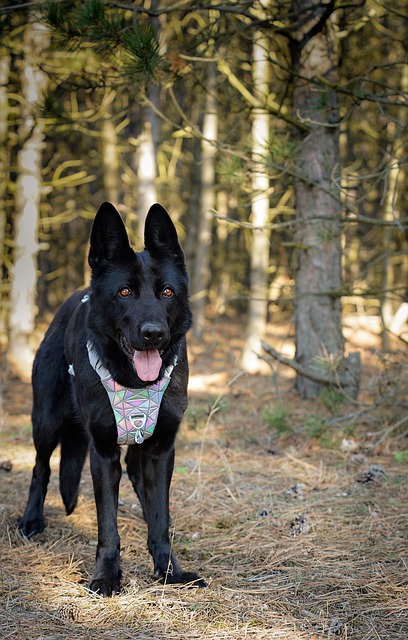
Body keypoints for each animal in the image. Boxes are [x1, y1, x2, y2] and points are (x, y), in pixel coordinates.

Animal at [18, 204, 206, 596]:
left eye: (167, 292)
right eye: (124, 292)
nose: (154, 334)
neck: (134, 381)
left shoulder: (161, 449)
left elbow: (160, 518)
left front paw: (169, 570)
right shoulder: (102, 453)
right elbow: (107, 525)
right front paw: (106, 575)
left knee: (140, 479)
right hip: (46, 420)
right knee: (41, 468)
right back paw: (31, 520)